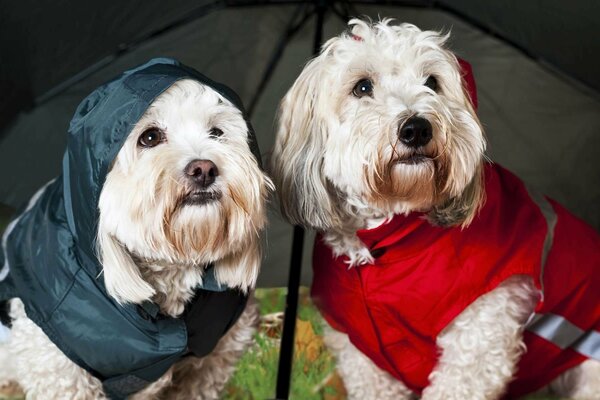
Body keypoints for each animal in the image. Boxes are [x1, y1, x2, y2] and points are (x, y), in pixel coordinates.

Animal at [272, 17, 600, 398]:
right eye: (362, 87)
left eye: (432, 82)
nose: (416, 128)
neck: (389, 243)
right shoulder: (362, 357)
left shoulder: (480, 337)